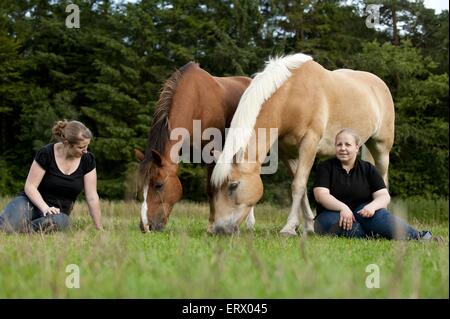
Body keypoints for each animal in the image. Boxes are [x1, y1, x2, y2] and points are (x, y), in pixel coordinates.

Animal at [136, 62, 256, 232]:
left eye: (158, 185)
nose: (145, 226)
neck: (197, 100)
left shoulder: (213, 153)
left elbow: (211, 189)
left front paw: (213, 224)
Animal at [209, 53, 392, 236]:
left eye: (233, 185)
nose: (219, 229)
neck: (291, 96)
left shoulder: (309, 143)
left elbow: (298, 185)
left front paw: (289, 227)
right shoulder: (287, 153)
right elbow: (301, 187)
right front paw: (308, 225)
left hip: (381, 148)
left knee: (383, 178)